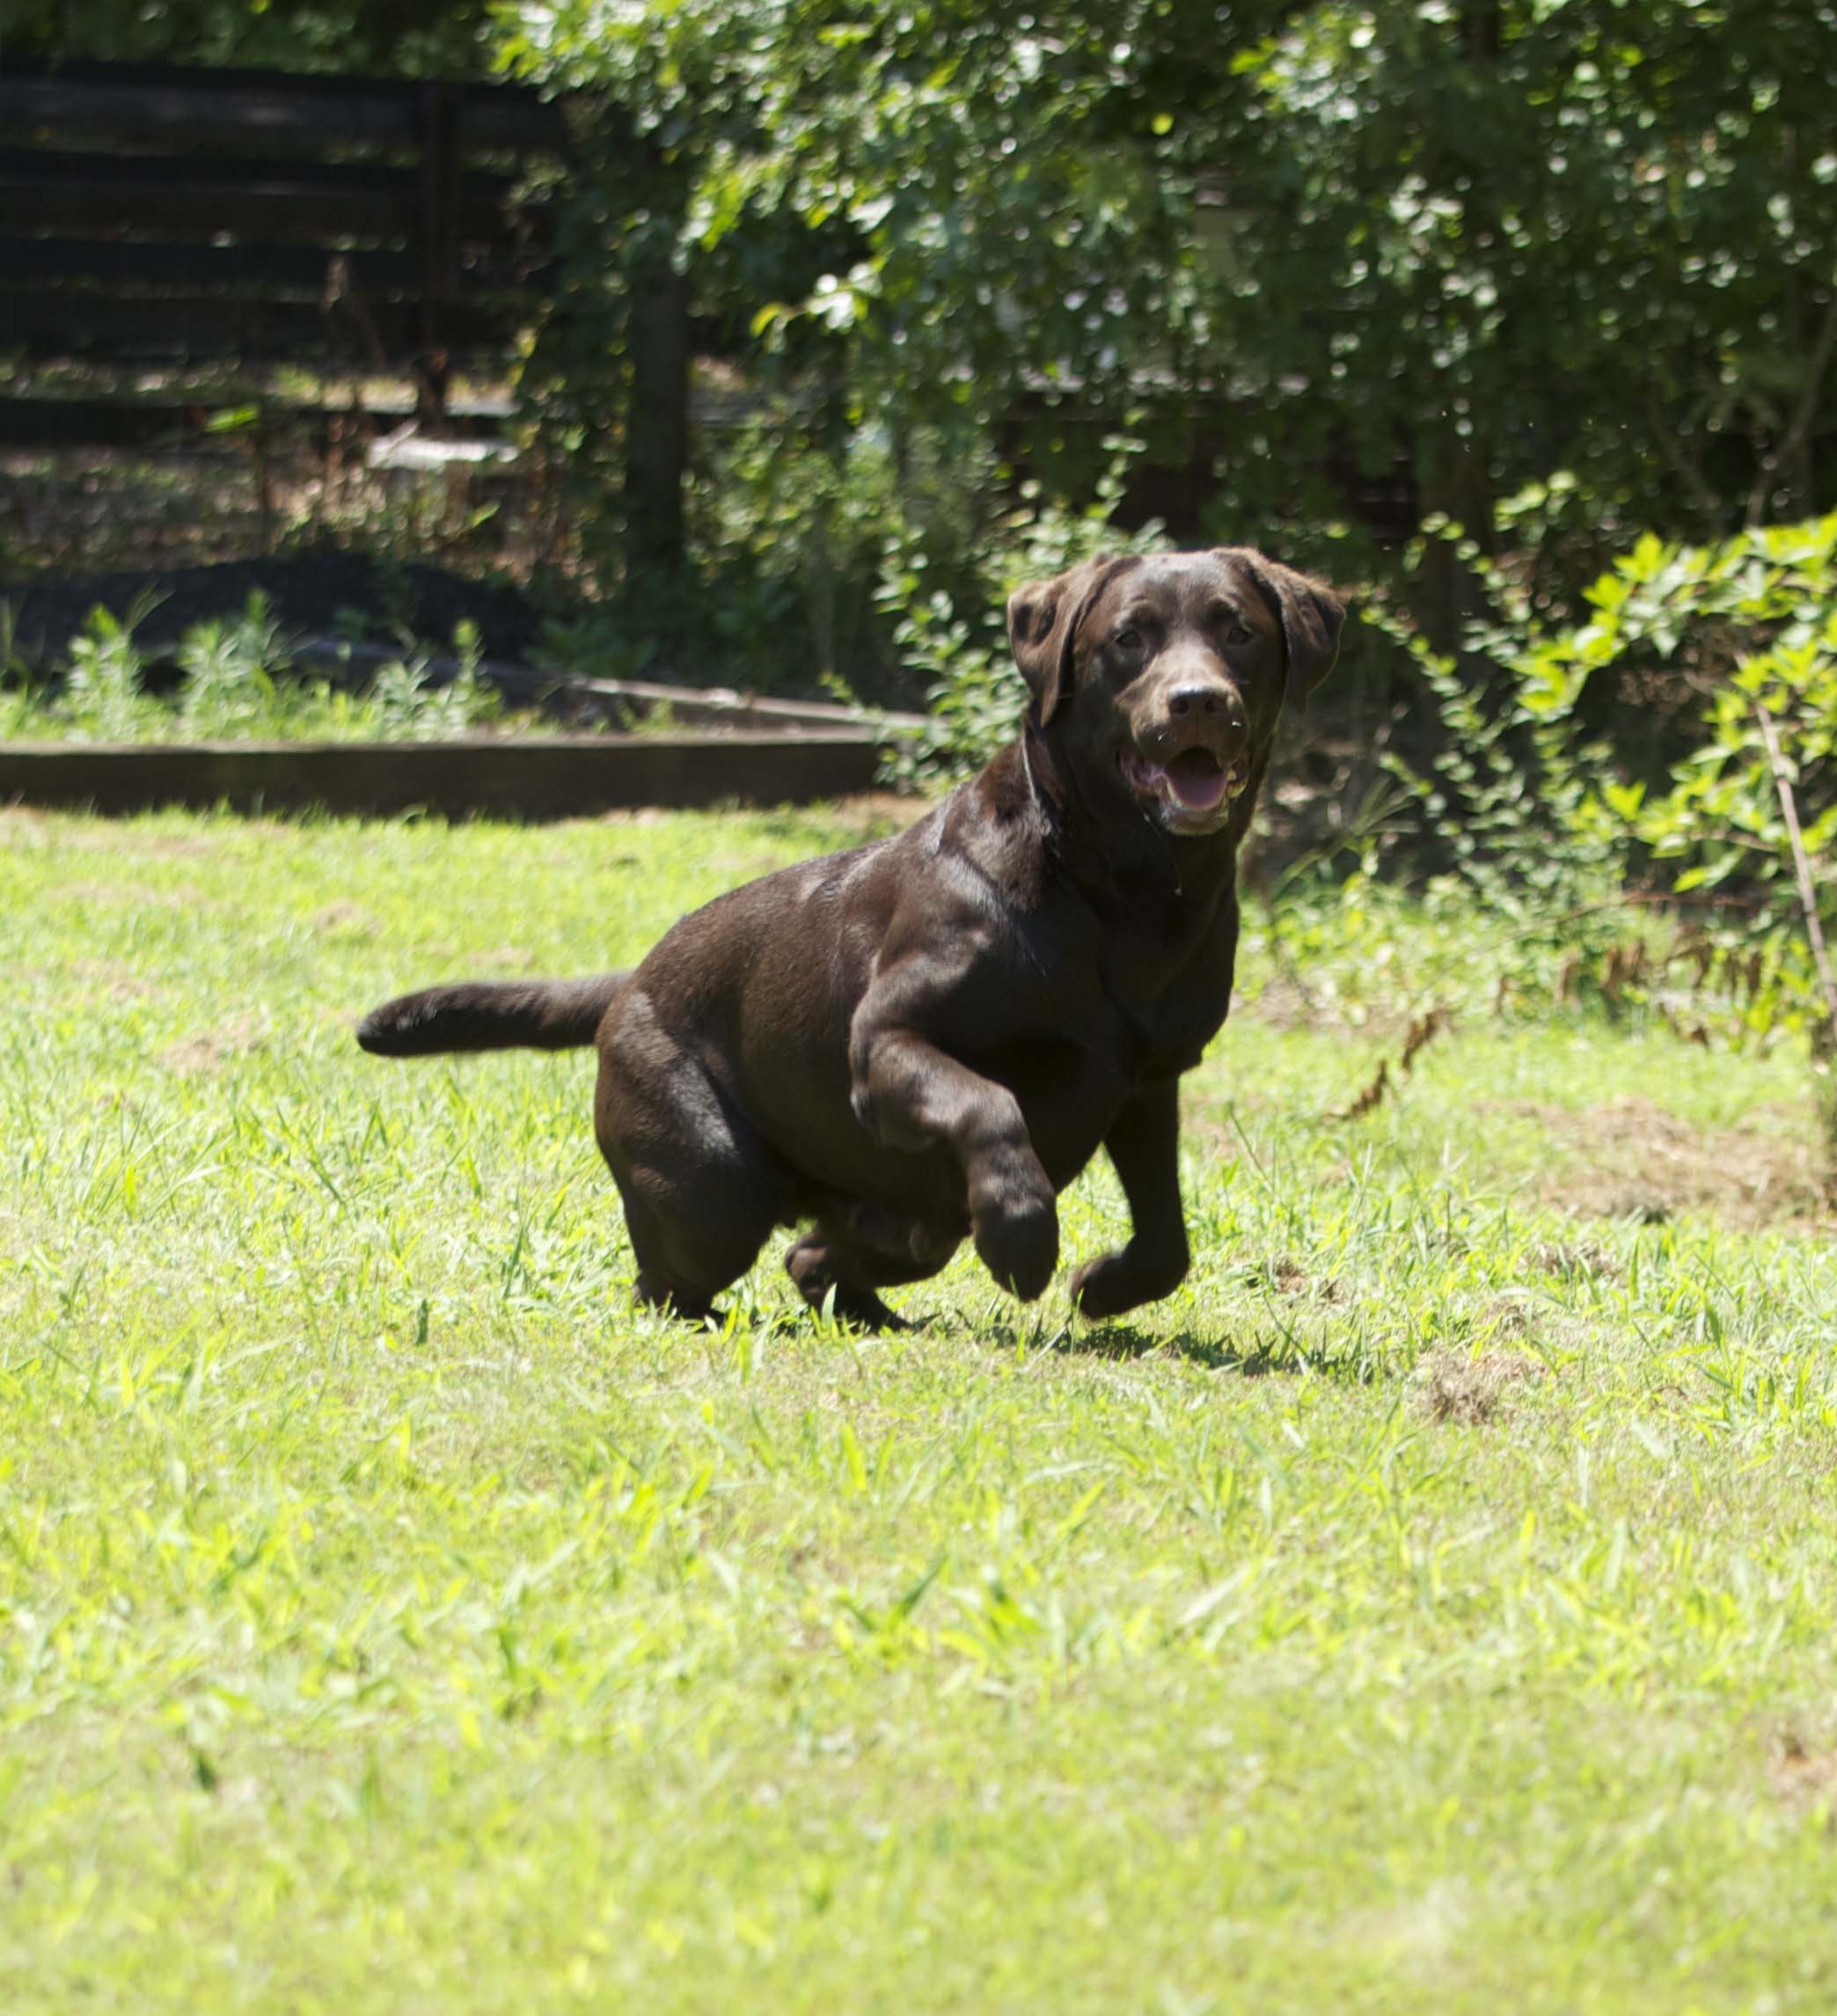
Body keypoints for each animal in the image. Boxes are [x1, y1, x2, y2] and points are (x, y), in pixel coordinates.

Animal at [358, 548, 1344, 1329]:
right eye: (1130, 639)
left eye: (1238, 631)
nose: (1198, 701)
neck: (1119, 893)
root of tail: (631, 976)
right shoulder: (885, 1041)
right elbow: (991, 1103)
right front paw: (1026, 1233)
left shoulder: (1148, 1079)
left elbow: (1168, 1235)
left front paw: (1104, 1285)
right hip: (712, 1177)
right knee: (677, 1273)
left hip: (896, 1210)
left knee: (825, 1253)